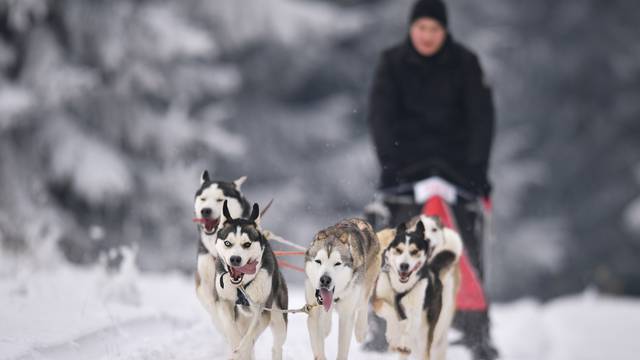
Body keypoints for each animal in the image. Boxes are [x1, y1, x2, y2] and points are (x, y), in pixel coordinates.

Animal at [212, 201, 288, 358]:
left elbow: (250, 337)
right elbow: (231, 329)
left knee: (276, 346)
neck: (241, 286)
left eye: (247, 244)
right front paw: (235, 346)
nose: (235, 259)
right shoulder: (224, 302)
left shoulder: (262, 310)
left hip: (279, 319)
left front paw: (242, 349)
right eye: (227, 243)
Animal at [304, 218, 380, 358]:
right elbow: (318, 347)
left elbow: (343, 349)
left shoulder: (346, 315)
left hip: (365, 285)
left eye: (337, 263)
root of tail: (362, 221)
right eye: (318, 261)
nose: (325, 280)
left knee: (363, 304)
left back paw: (360, 331)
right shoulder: (313, 314)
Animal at [372, 215, 462, 358]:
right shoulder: (378, 300)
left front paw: (402, 337)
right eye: (399, 250)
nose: (404, 265)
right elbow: (390, 311)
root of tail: (432, 269)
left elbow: (409, 325)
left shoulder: (415, 310)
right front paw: (393, 333)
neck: (400, 288)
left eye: (414, 251)